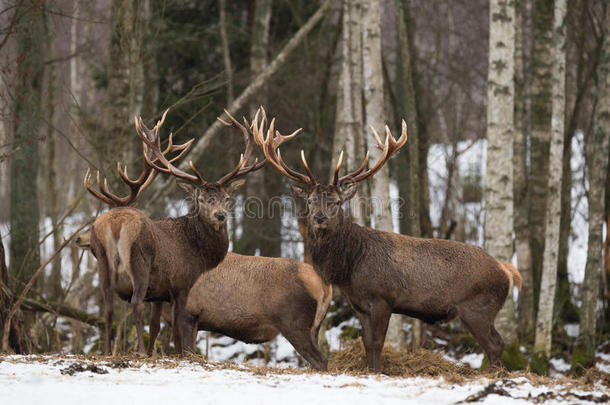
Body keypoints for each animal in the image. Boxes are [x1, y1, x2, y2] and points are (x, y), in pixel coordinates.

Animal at [254, 119, 520, 370]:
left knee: (495, 343)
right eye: (310, 200)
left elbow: (378, 342)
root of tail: (507, 271)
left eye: (337, 202)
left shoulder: (384, 298)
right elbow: (367, 342)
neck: (349, 266)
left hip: (478, 306)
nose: (320, 218)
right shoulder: (359, 304)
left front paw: (377, 371)